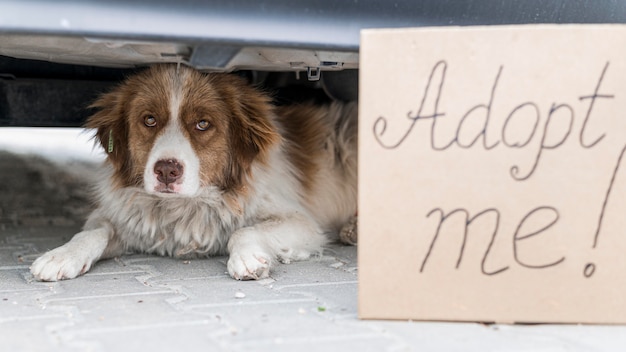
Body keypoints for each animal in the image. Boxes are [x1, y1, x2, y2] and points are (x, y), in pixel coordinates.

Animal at [29, 64, 358, 282]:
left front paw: (247, 257)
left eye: (202, 124)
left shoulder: (302, 222)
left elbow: (243, 230)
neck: (186, 206)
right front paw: (63, 254)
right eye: (149, 120)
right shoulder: (129, 219)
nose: (166, 170)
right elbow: (92, 232)